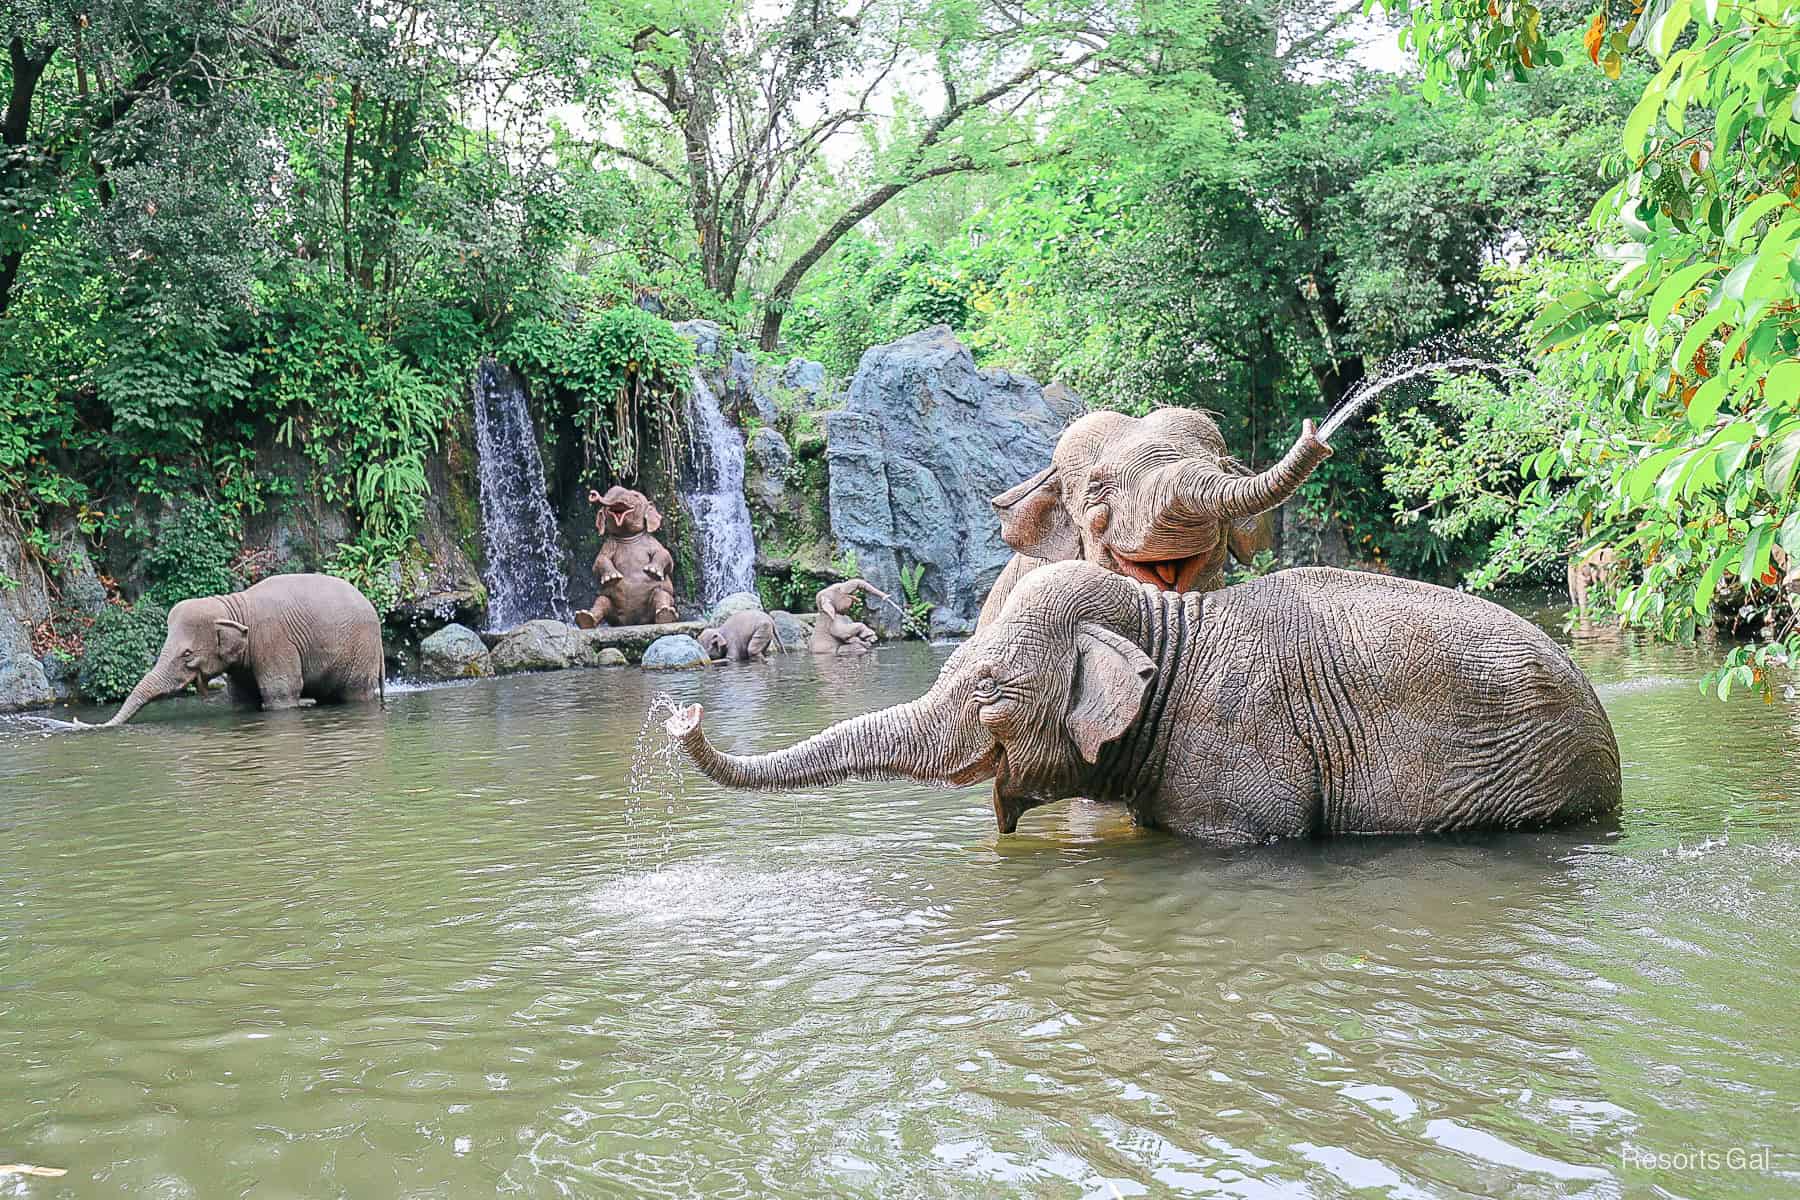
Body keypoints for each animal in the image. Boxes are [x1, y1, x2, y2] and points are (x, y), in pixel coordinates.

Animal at [98, 575, 383, 726]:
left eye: (187, 653)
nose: (95, 725)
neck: (234, 605)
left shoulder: (274, 641)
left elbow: (279, 693)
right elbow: (242, 699)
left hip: (362, 653)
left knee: (355, 693)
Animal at [576, 485, 680, 633]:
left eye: (635, 495)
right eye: (608, 493)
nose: (593, 494)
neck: (628, 536)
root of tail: (632, 622)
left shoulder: (651, 541)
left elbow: (666, 555)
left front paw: (652, 571)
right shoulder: (609, 544)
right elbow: (599, 561)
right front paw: (612, 577)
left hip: (658, 599)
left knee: (661, 594)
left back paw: (666, 615)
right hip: (611, 606)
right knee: (602, 601)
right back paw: (586, 618)